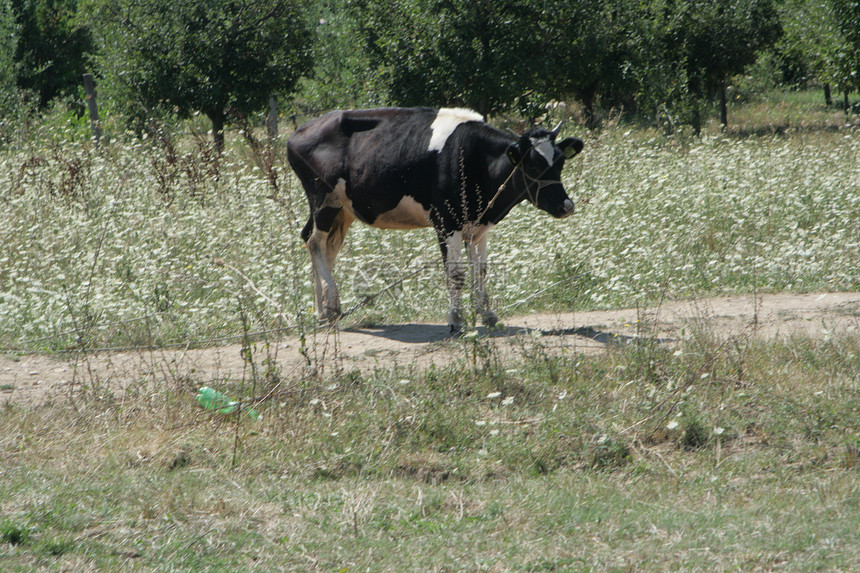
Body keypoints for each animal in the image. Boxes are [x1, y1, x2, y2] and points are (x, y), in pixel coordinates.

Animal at [288, 106, 584, 330]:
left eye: (560, 161)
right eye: (533, 165)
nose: (566, 205)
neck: (474, 157)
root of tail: (298, 133)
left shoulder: (480, 224)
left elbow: (481, 270)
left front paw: (487, 315)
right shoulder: (446, 222)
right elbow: (456, 273)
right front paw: (455, 321)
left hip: (342, 209)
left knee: (323, 246)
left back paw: (324, 312)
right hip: (323, 200)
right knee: (315, 242)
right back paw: (333, 306)